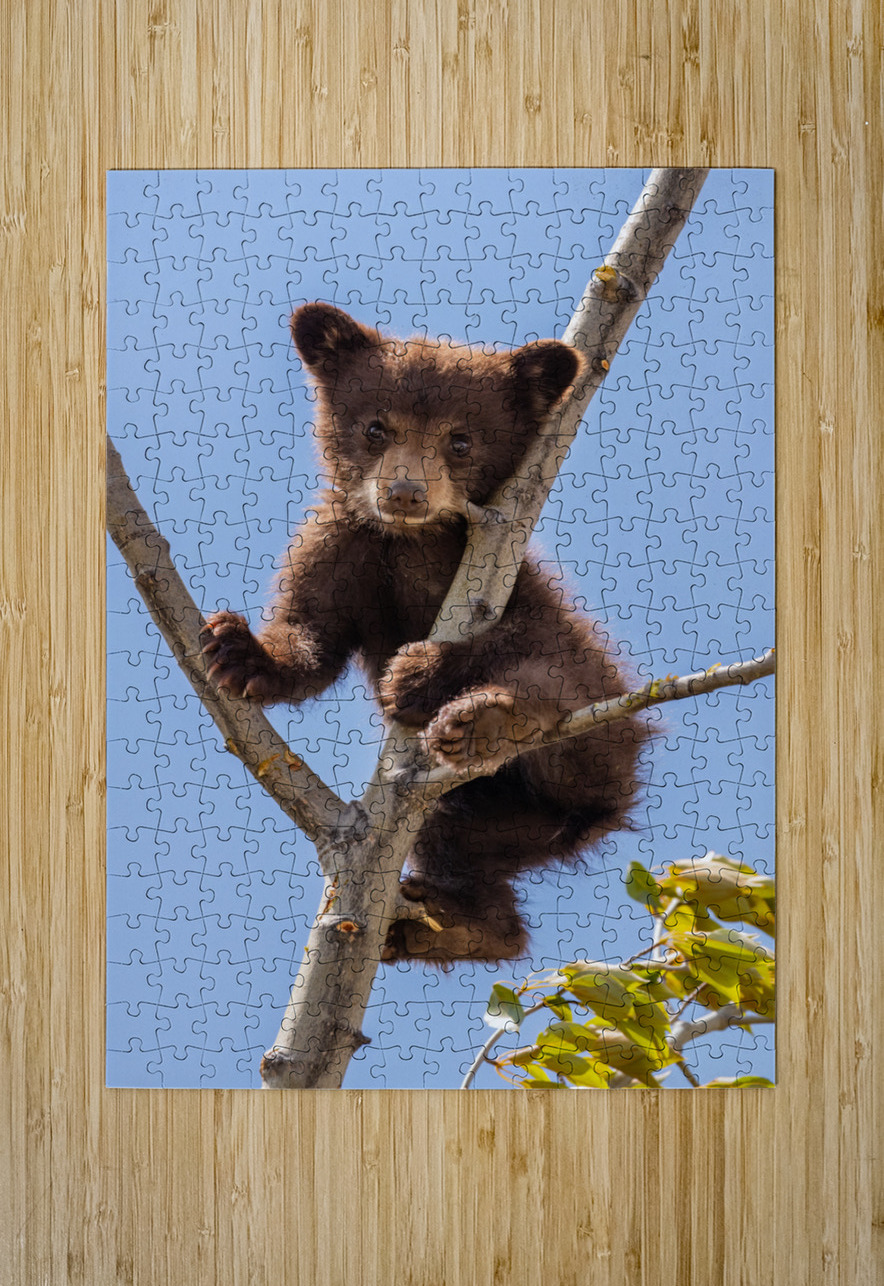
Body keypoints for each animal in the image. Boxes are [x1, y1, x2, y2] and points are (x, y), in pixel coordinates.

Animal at [202, 302, 648, 965]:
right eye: (375, 428)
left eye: (460, 440)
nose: (405, 492)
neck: (410, 542)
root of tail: (596, 814)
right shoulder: (341, 542)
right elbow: (312, 637)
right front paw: (242, 652)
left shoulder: (499, 556)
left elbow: (522, 629)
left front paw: (421, 671)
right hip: (501, 818)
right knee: (459, 846)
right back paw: (458, 925)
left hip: (604, 733)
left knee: (557, 680)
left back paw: (486, 719)